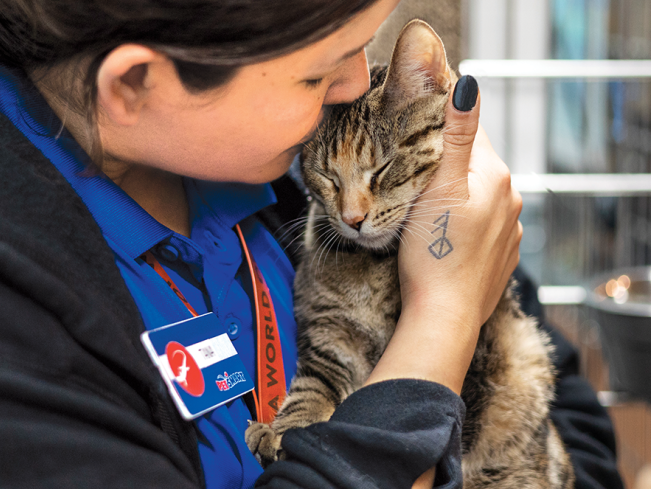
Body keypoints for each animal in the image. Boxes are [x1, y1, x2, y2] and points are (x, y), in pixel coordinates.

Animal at [246, 20, 576, 488]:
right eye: (327, 175)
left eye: (381, 169)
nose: (352, 218)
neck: (375, 266)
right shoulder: (330, 335)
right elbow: (313, 385)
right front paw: (285, 427)